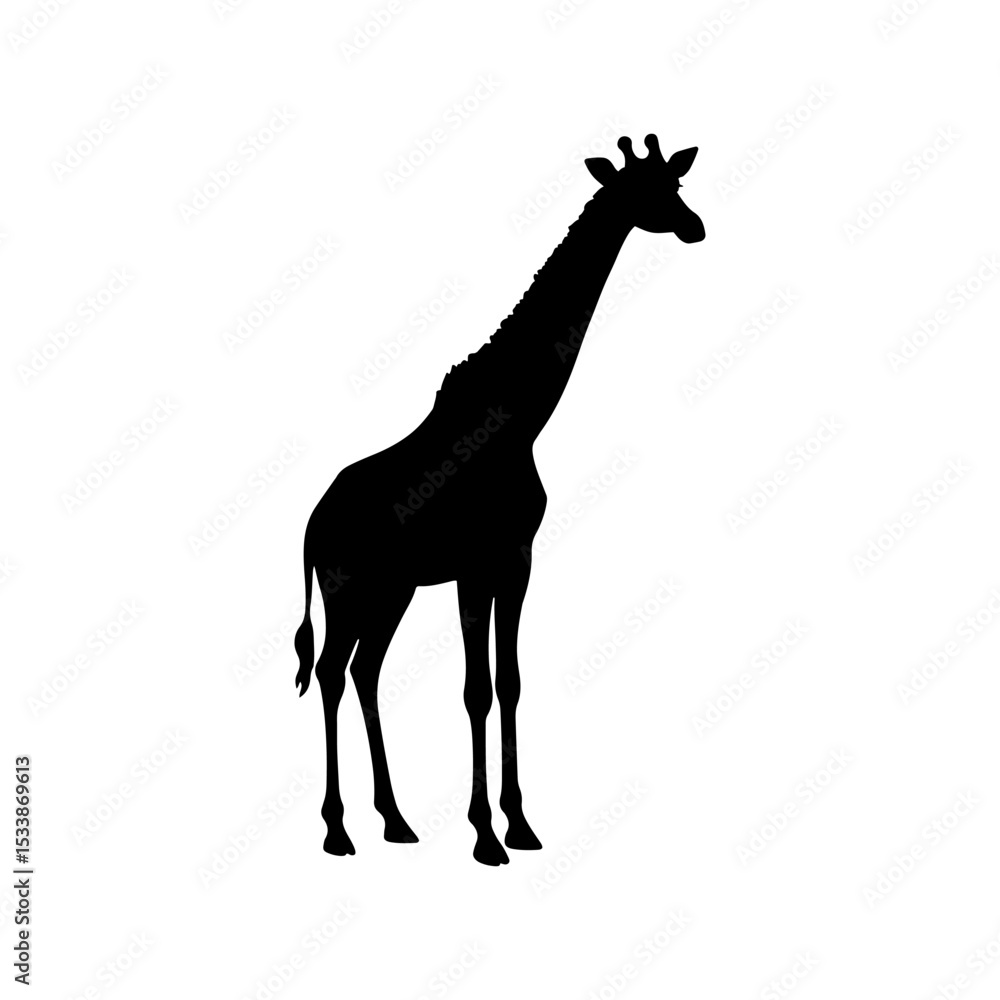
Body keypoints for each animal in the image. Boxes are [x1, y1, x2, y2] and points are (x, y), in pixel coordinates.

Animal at [294, 134, 704, 865]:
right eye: (645, 190)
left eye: (676, 183)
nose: (695, 226)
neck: (518, 422)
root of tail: (311, 523)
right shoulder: (475, 565)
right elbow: (476, 690)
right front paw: (486, 834)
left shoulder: (513, 560)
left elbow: (508, 682)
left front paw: (519, 824)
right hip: (346, 588)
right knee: (332, 673)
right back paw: (338, 831)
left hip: (392, 589)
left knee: (366, 671)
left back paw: (395, 820)